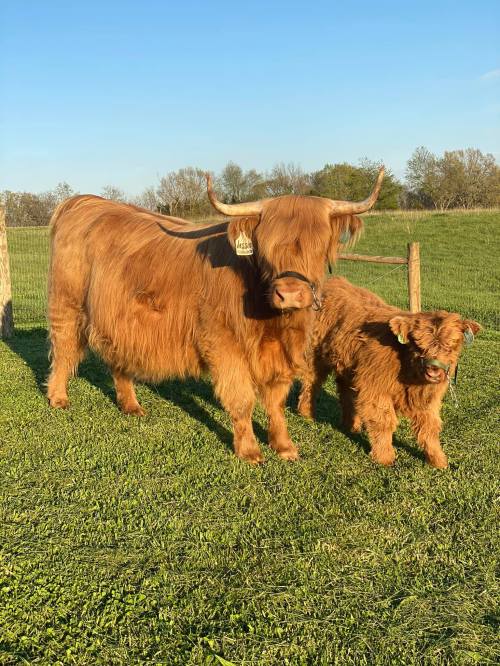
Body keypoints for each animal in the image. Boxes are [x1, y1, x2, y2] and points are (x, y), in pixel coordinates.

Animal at [47, 169, 384, 464]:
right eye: (265, 247)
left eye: (319, 246)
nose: (289, 294)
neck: (273, 322)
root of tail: (87, 202)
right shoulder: (224, 344)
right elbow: (242, 399)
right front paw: (249, 451)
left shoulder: (280, 354)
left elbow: (275, 401)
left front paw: (284, 446)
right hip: (67, 305)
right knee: (63, 350)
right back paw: (57, 398)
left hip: (120, 320)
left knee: (118, 357)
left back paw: (130, 405)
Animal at [298, 277, 481, 468]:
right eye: (417, 344)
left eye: (452, 345)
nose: (434, 370)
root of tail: (332, 281)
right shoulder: (375, 389)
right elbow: (383, 422)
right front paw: (385, 457)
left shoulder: (427, 399)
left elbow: (430, 427)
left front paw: (438, 460)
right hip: (314, 355)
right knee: (311, 382)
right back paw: (307, 413)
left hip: (346, 363)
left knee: (345, 391)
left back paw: (351, 426)